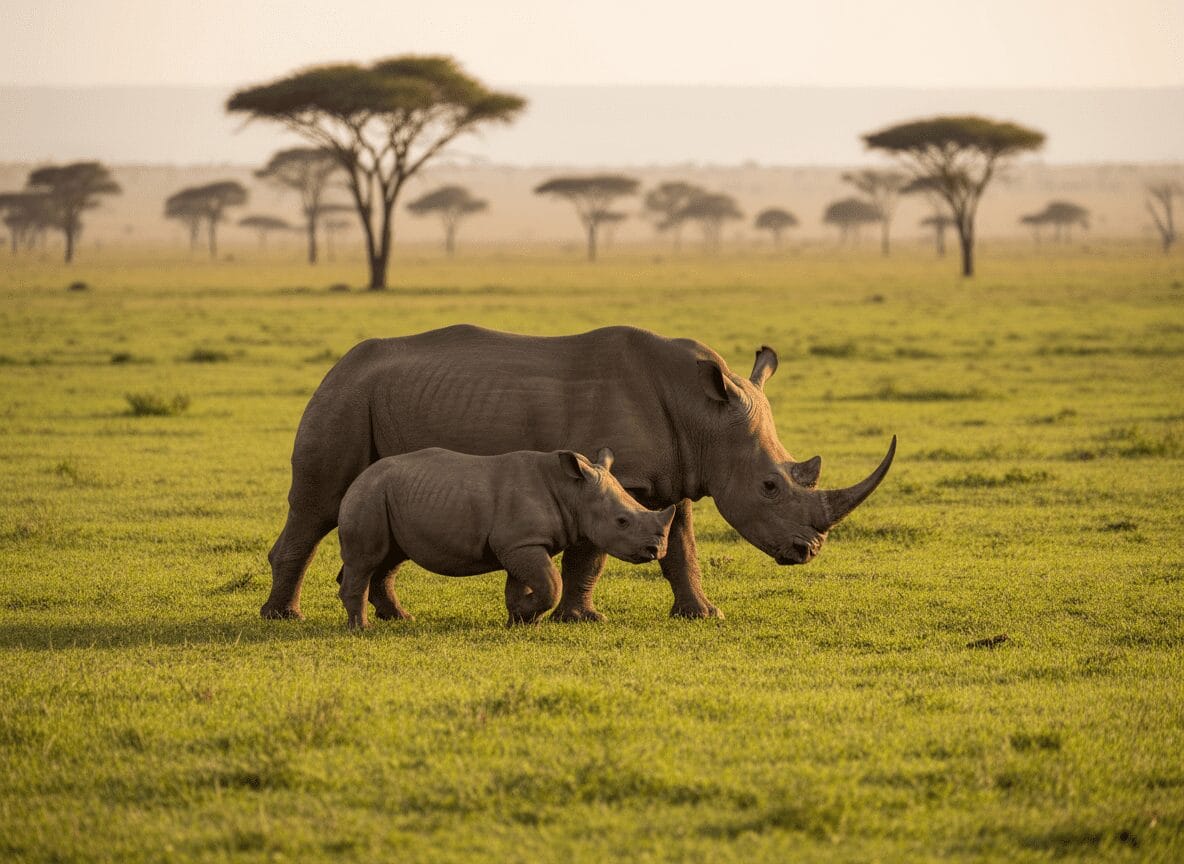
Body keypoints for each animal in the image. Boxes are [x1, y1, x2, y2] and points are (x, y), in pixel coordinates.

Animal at [337, 447, 676, 628]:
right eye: (622, 521)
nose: (656, 549)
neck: (572, 492)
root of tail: (359, 477)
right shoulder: (520, 543)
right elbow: (551, 583)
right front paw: (526, 616)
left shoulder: (520, 542)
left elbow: (523, 584)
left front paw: (521, 620)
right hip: (369, 494)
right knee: (367, 560)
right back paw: (362, 629)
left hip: (387, 495)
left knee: (390, 560)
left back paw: (402, 619)